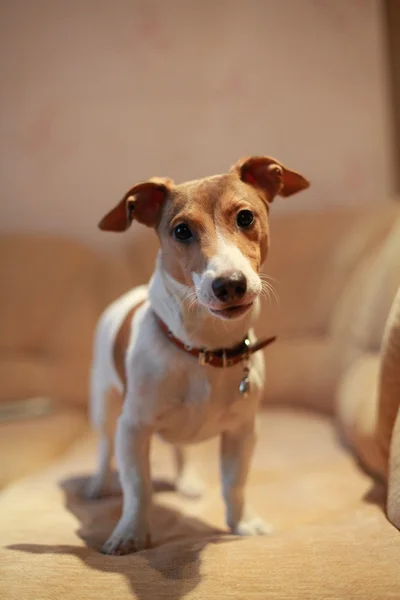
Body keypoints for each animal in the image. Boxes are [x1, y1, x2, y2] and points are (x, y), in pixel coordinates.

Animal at [87, 156, 310, 556]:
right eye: (181, 231)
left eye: (246, 217)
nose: (230, 284)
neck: (205, 349)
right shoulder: (133, 428)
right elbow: (137, 487)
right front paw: (130, 532)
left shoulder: (242, 430)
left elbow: (235, 482)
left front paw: (243, 522)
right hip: (104, 404)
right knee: (103, 445)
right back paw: (98, 484)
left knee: (181, 450)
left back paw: (187, 480)